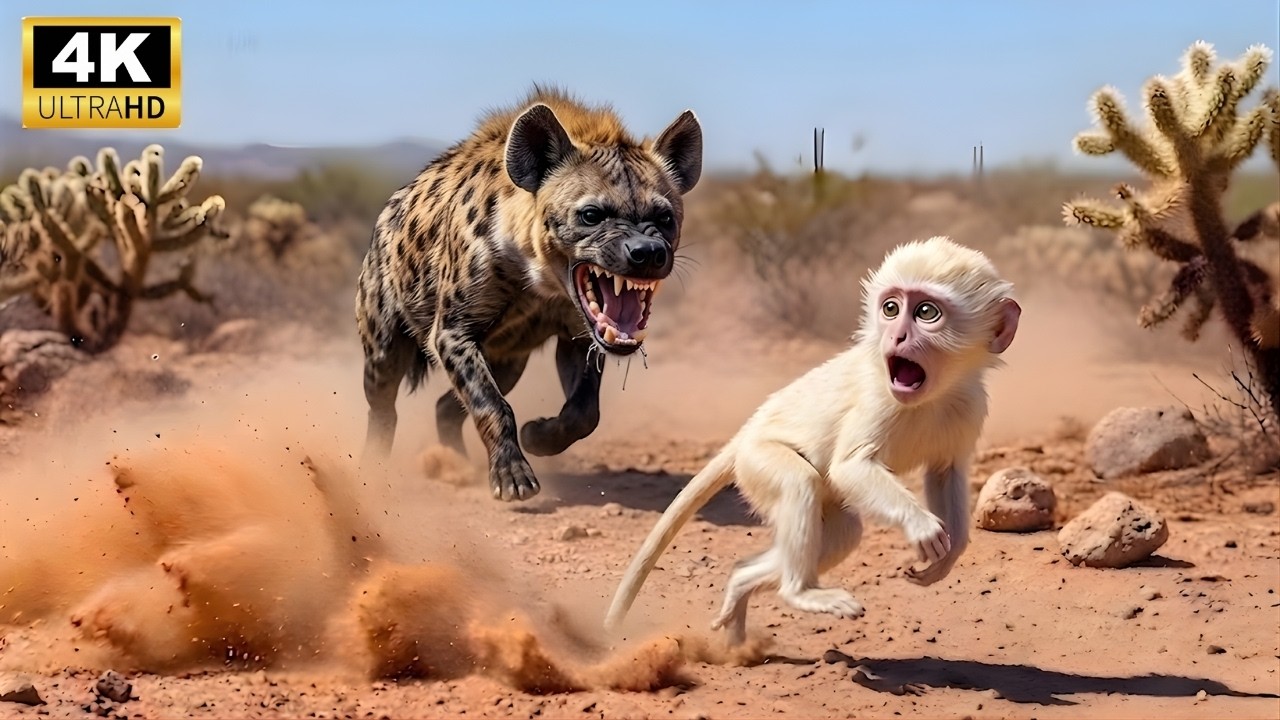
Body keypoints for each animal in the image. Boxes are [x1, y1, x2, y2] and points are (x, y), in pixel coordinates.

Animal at [604, 236, 1021, 645]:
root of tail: (746, 433)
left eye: (926, 313)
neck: (932, 395)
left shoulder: (970, 403)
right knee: (799, 483)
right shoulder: (878, 397)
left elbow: (945, 471)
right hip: (758, 461)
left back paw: (741, 585)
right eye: (891, 308)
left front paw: (951, 552)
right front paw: (923, 527)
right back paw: (799, 593)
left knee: (843, 533)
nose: (896, 335)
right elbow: (851, 467)